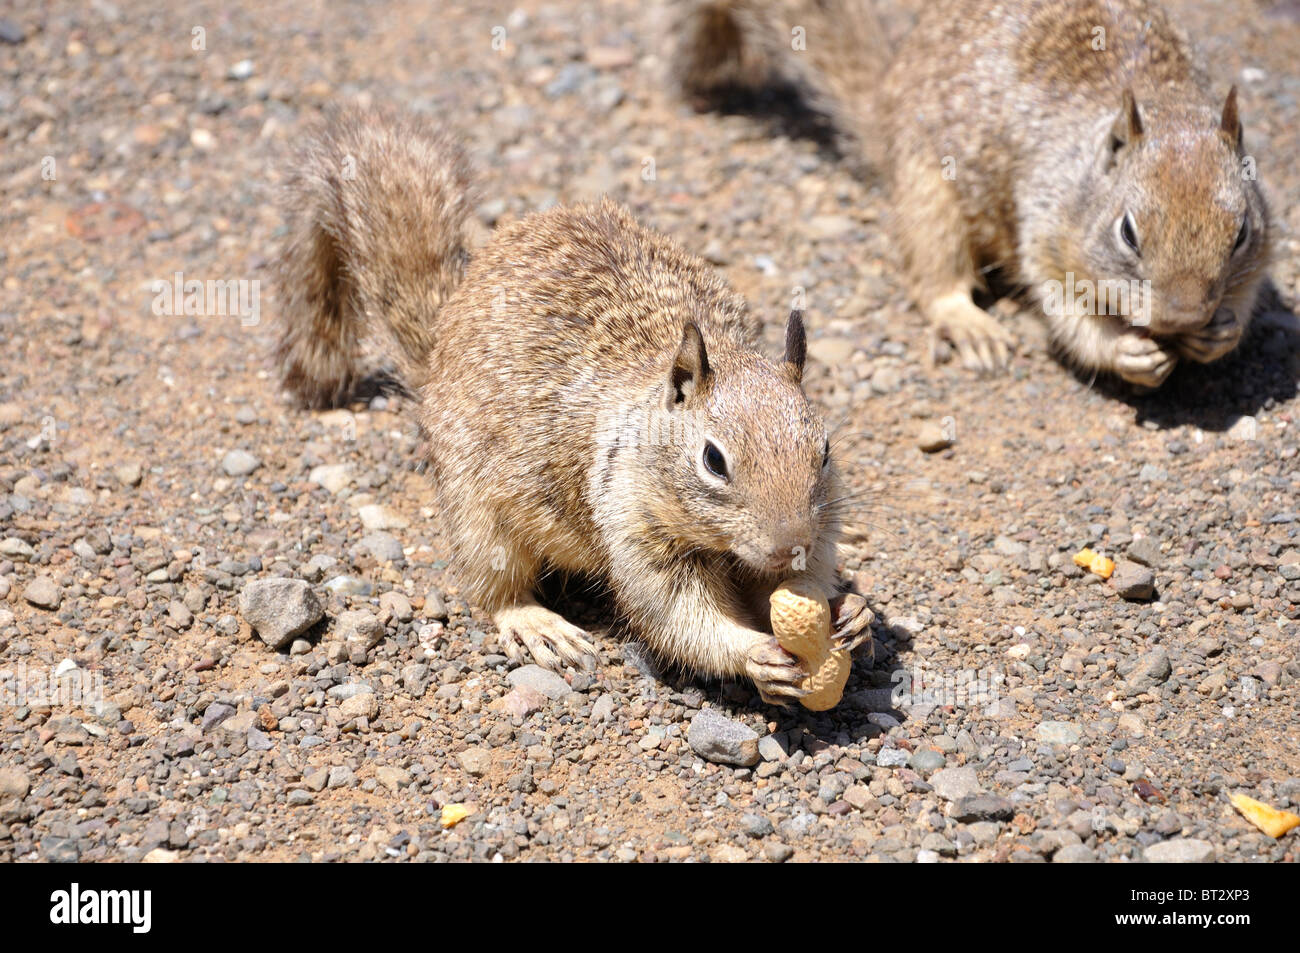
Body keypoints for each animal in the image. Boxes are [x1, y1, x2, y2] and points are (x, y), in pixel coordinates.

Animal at [272, 107, 874, 704]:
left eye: (824, 451)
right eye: (713, 460)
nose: (790, 547)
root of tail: (443, 332)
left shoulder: (819, 524)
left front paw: (849, 609)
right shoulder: (630, 524)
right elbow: (675, 615)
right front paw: (752, 654)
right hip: (475, 512)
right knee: (492, 585)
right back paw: (536, 624)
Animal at [672, 0, 1273, 388]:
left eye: (1241, 232)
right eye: (1127, 232)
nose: (1183, 318)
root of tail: (886, 97)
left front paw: (1222, 331)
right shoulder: (1046, 231)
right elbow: (1066, 312)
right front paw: (1124, 350)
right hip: (928, 192)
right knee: (933, 276)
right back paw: (969, 324)